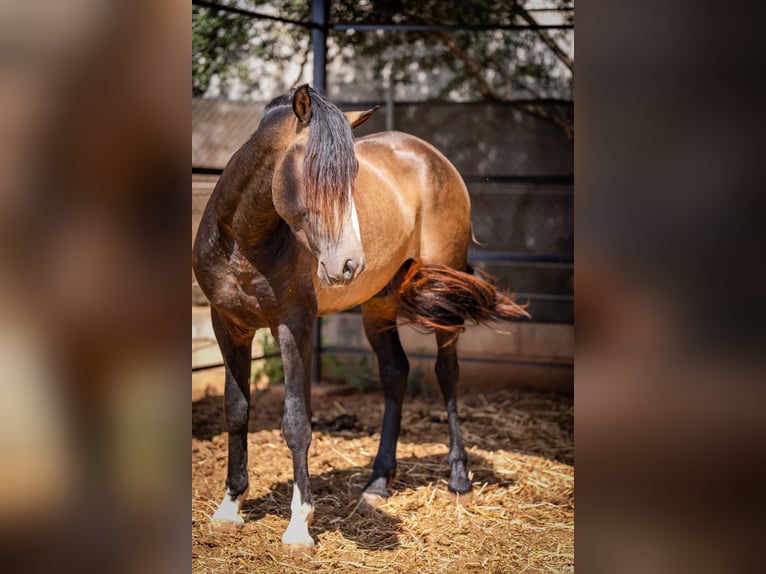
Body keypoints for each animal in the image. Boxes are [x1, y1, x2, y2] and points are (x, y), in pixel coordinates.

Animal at [192, 85, 528, 560]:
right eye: (314, 175)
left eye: (352, 179)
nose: (350, 264)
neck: (243, 242)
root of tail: (432, 157)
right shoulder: (228, 326)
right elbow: (236, 412)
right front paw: (229, 508)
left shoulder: (293, 327)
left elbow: (297, 422)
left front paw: (299, 527)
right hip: (379, 306)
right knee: (395, 374)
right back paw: (378, 482)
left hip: (442, 297)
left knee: (446, 373)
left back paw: (459, 478)